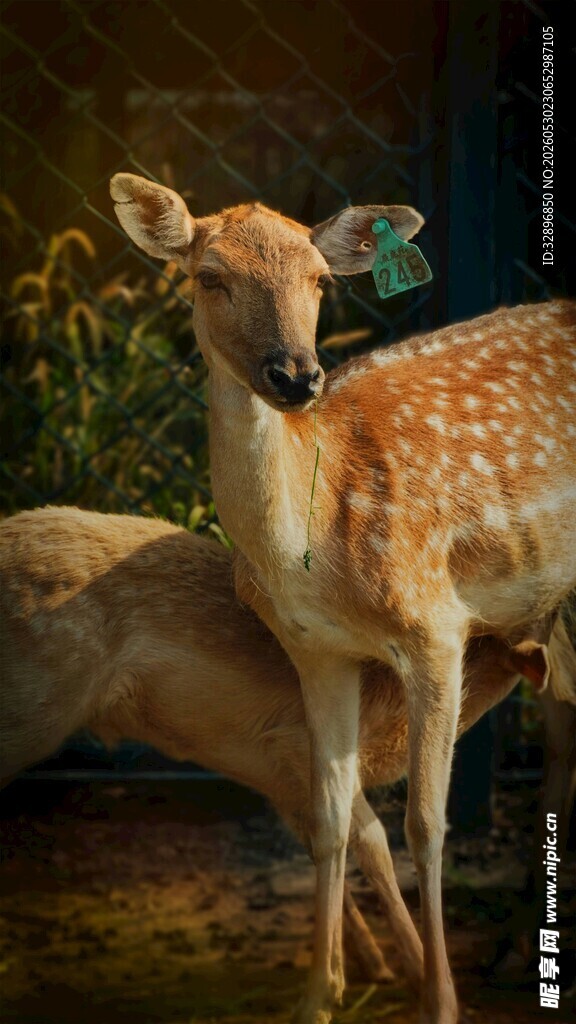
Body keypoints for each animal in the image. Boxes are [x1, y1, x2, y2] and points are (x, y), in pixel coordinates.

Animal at [2, 507, 574, 1001]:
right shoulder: (298, 745)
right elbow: (370, 841)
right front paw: (411, 970)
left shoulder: (280, 778)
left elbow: (323, 842)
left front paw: (370, 965)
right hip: (33, 710)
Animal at [110, 171, 576, 1024]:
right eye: (209, 276)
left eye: (321, 281)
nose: (296, 376)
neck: (314, 551)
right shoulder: (315, 651)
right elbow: (331, 818)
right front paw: (318, 996)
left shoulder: (436, 625)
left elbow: (425, 823)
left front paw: (440, 1002)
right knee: (562, 714)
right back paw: (520, 932)